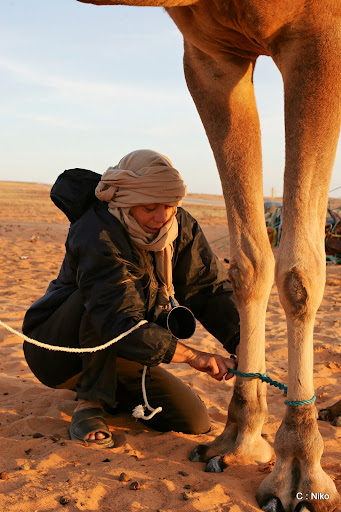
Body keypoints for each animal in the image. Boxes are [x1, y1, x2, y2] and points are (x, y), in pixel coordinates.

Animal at [76, 2, 340, 510]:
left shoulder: (320, 35)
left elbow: (299, 274)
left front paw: (299, 468)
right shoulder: (211, 57)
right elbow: (249, 264)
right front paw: (238, 440)